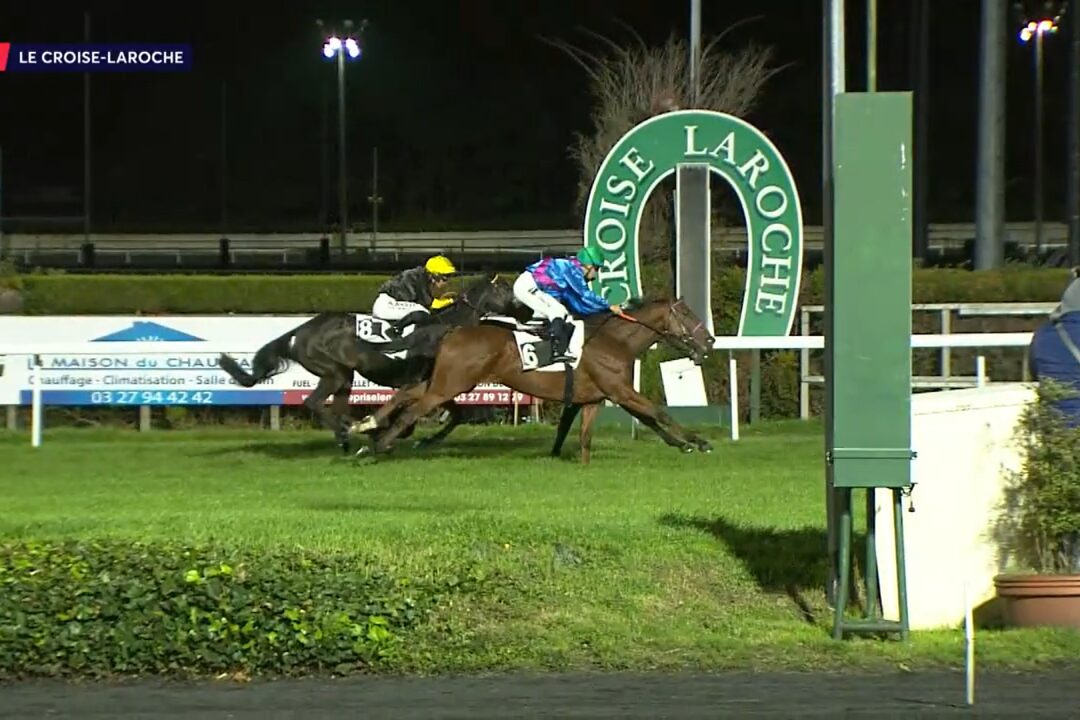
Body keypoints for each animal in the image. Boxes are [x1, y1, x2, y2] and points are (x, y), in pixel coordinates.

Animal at [217, 273, 521, 453]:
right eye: (506, 287)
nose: (524, 310)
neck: (447, 327)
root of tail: (302, 329)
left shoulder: (437, 383)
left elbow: (455, 415)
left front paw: (411, 436)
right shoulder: (424, 380)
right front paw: (386, 432)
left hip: (345, 375)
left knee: (337, 407)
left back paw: (348, 436)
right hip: (333, 372)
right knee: (314, 402)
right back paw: (347, 433)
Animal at [353, 296, 716, 462]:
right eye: (687, 314)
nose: (710, 340)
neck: (615, 341)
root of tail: (454, 329)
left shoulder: (598, 397)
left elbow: (591, 434)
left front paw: (682, 443)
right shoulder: (620, 389)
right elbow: (658, 412)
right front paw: (698, 441)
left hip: (449, 381)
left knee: (407, 392)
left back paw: (367, 425)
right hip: (452, 384)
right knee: (415, 408)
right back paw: (378, 446)